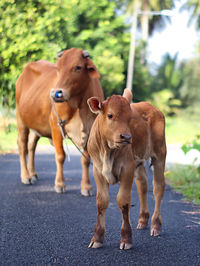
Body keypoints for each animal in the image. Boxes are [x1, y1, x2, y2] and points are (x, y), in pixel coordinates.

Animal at [15, 47, 103, 195]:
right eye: (58, 68)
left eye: (78, 67)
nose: (57, 93)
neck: (79, 106)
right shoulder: (56, 126)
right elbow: (60, 156)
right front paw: (60, 184)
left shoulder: (89, 129)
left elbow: (85, 159)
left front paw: (86, 187)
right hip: (21, 120)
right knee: (22, 147)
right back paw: (26, 176)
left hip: (37, 126)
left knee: (31, 146)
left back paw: (33, 174)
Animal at [86, 89, 166, 249]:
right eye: (110, 115)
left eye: (130, 117)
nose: (127, 137)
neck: (108, 151)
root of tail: (153, 108)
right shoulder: (97, 170)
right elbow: (101, 201)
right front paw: (97, 237)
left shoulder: (127, 168)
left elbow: (123, 201)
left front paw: (126, 238)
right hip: (139, 163)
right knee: (142, 185)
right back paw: (143, 220)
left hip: (160, 154)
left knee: (158, 188)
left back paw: (156, 225)